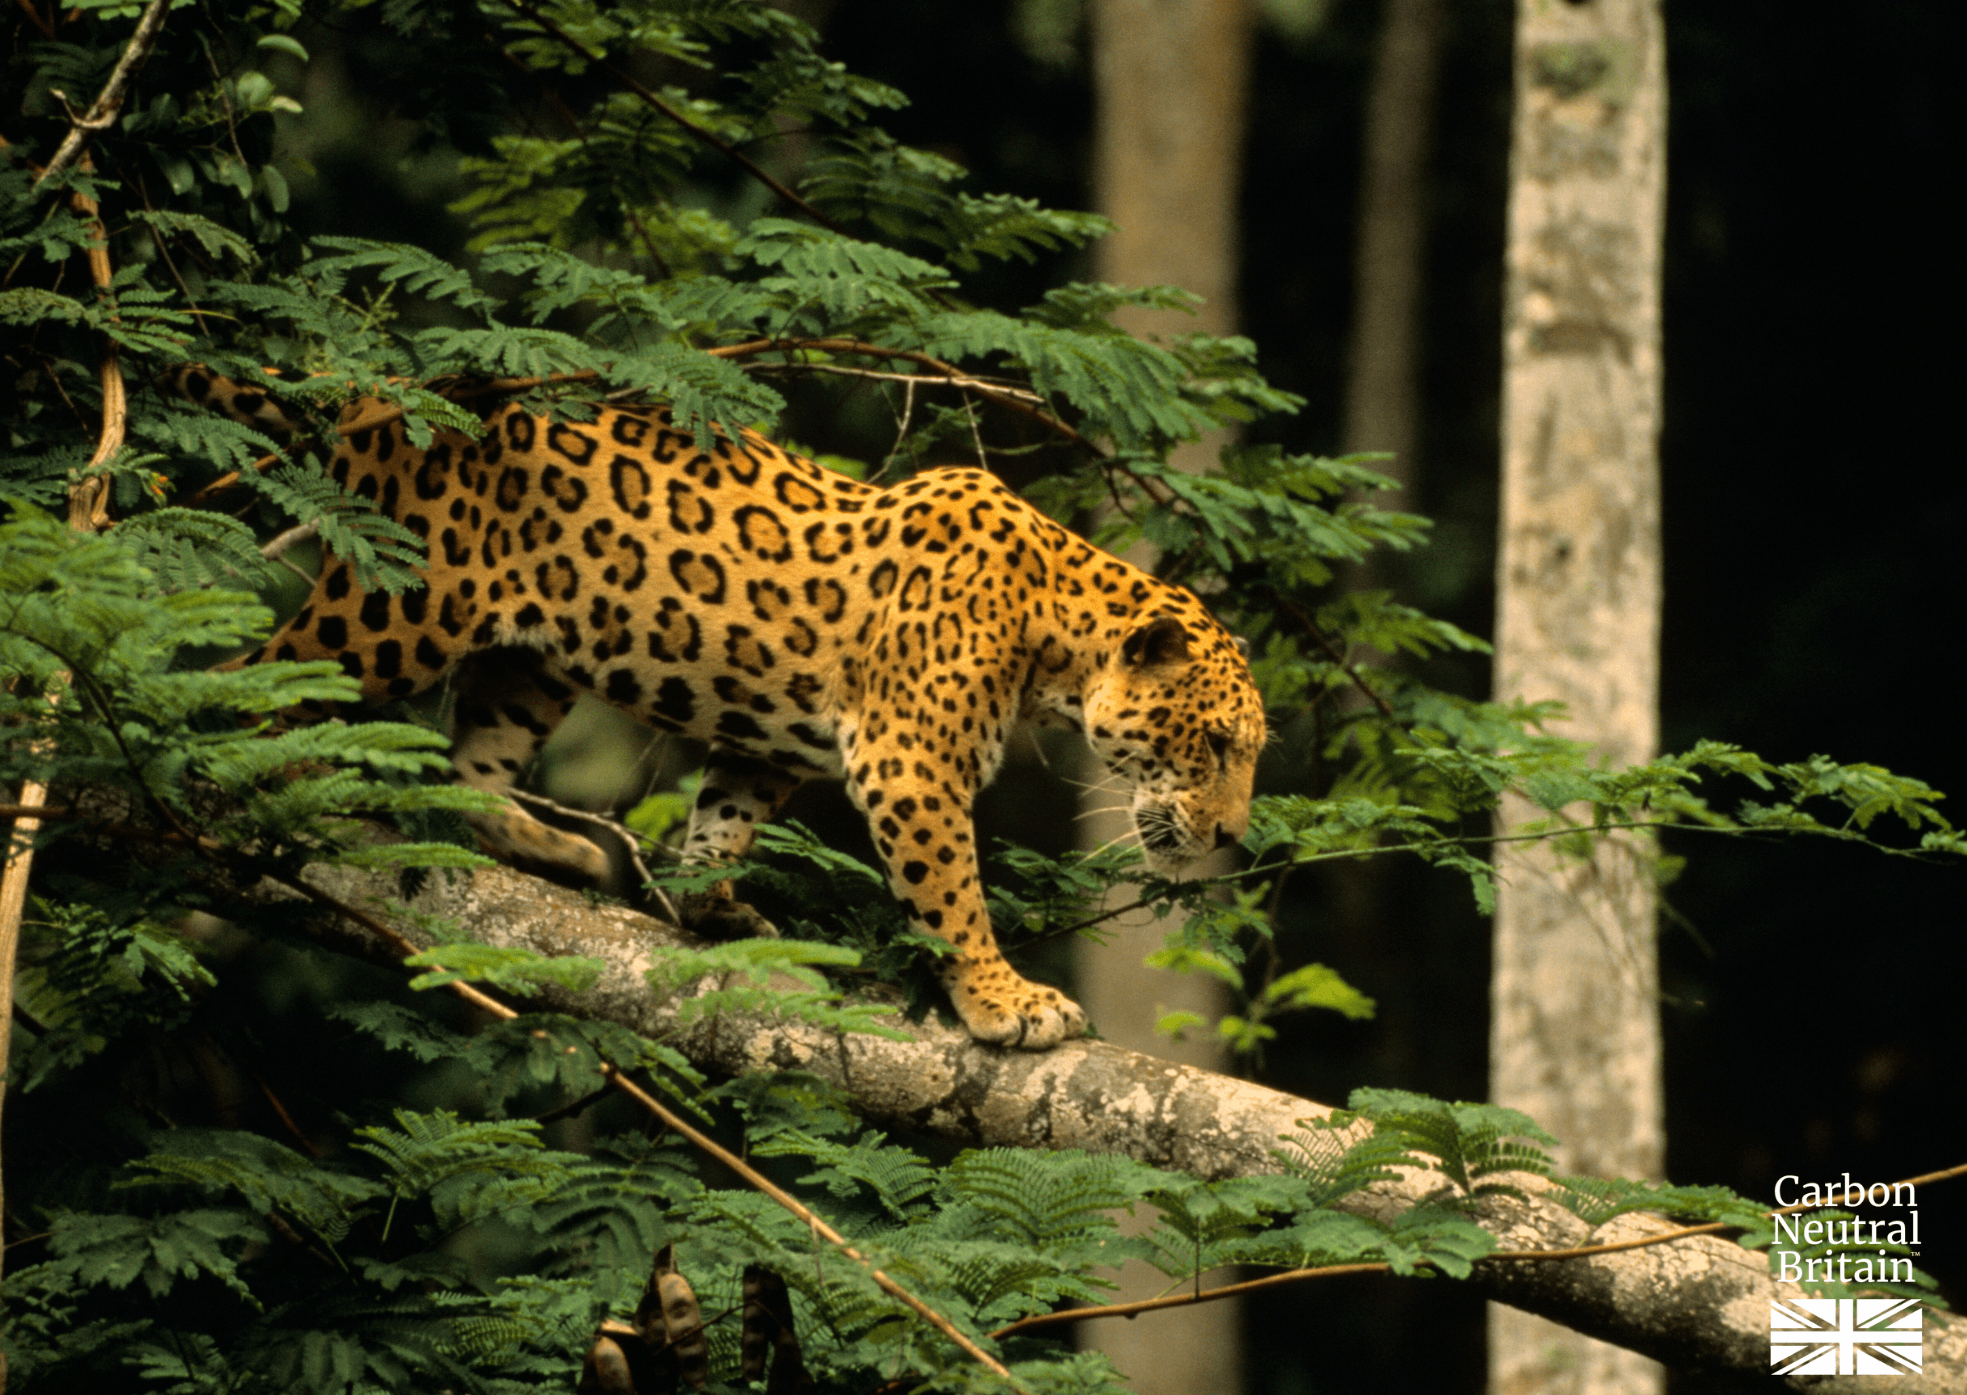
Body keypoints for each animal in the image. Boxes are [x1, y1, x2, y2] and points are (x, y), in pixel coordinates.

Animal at [178, 369, 1268, 1048]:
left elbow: (723, 820)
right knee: (253, 678)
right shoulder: (909, 763)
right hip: (400, 606)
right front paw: (1004, 1002)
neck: (1055, 631)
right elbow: (951, 893)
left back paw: (551, 849)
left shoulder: (776, 748)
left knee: (470, 763)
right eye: (1216, 745)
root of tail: (384, 402)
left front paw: (709, 903)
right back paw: (266, 773)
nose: (1229, 838)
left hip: (530, 662)